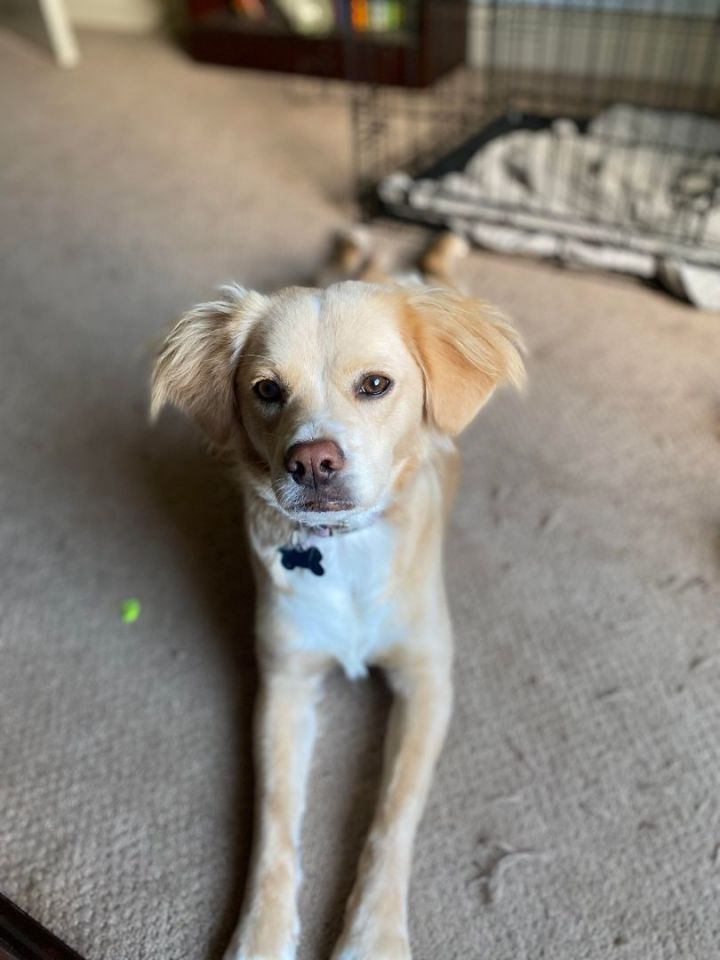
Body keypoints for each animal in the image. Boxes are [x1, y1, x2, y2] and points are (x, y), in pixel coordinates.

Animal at [152, 232, 524, 960]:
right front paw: (261, 935)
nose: (313, 463)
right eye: (267, 390)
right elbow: (273, 821)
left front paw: (372, 936)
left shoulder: (427, 682)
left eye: (375, 385)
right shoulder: (285, 683)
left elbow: (391, 820)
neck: (344, 550)